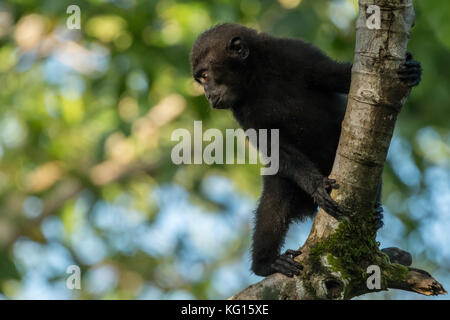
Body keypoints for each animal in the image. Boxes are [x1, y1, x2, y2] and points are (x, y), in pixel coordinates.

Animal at [190, 23, 422, 278]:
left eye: (205, 76)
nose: (207, 94)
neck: (257, 78)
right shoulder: (241, 108)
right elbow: (276, 148)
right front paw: (317, 185)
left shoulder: (299, 53)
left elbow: (346, 78)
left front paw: (412, 70)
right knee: (276, 194)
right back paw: (266, 264)